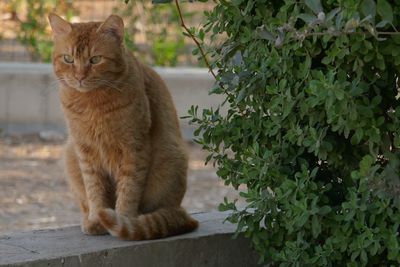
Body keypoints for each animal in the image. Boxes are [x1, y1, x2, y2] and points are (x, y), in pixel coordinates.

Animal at [48, 13, 198, 242]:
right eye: (68, 59)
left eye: (95, 59)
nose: (80, 77)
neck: (92, 104)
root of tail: (183, 214)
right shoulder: (85, 151)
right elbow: (94, 190)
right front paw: (96, 219)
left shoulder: (134, 148)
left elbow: (129, 190)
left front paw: (123, 219)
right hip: (69, 154)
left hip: (172, 158)